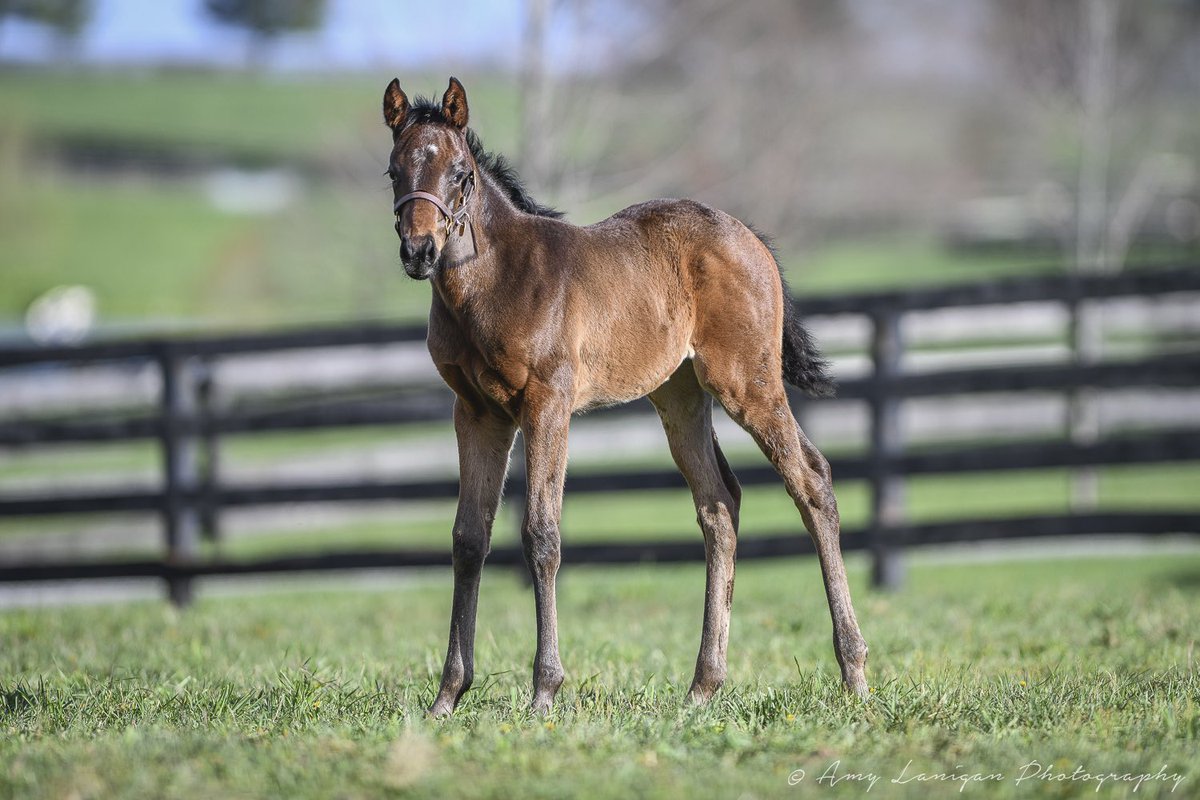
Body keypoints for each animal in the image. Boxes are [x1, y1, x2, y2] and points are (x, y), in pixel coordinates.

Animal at [382, 77, 869, 716]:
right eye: (393, 171)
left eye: (460, 172)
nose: (419, 251)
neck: (496, 282)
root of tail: (749, 237)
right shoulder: (477, 413)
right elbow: (468, 538)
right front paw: (447, 696)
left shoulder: (547, 404)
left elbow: (541, 533)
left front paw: (544, 691)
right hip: (679, 397)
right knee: (719, 505)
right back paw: (702, 686)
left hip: (748, 383)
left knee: (810, 480)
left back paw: (854, 671)